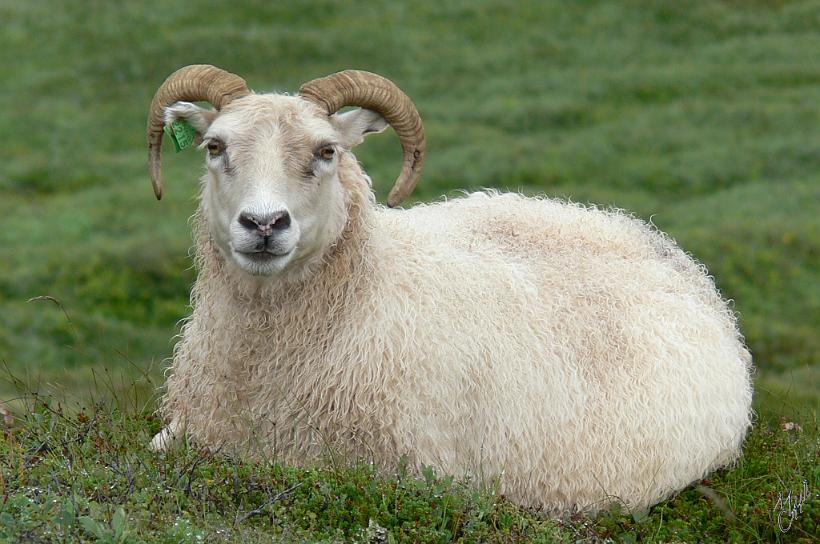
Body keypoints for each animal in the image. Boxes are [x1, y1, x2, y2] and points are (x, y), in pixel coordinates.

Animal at [144, 65, 752, 516]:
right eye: (214, 147)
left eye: (326, 152)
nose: (264, 224)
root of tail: (655, 242)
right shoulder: (191, 429)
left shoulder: (398, 468)